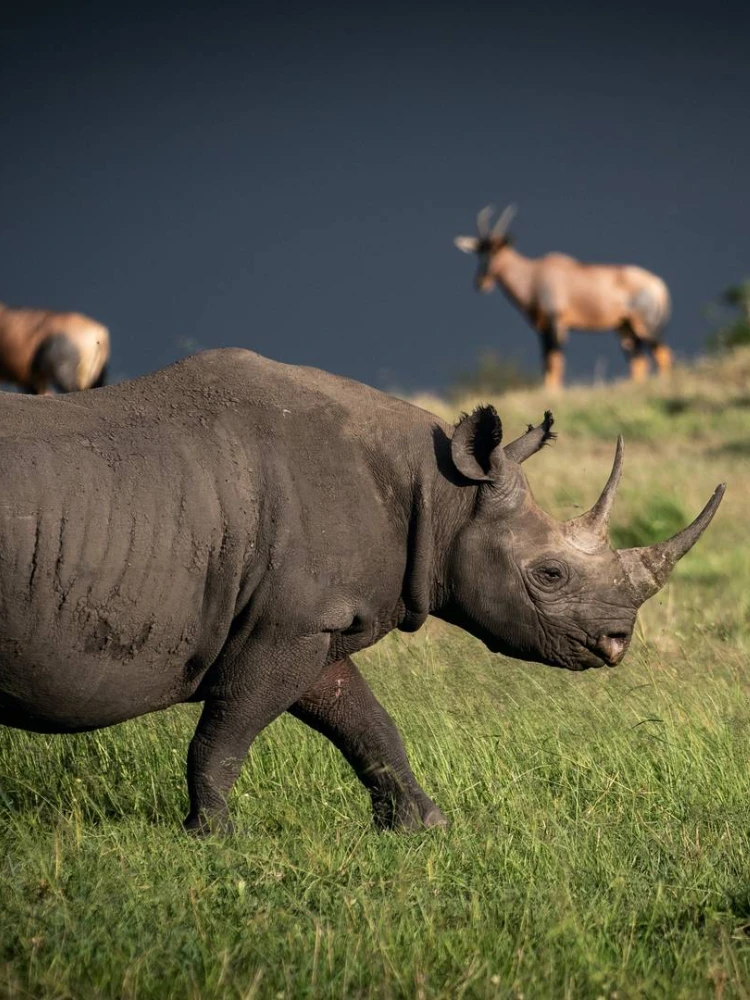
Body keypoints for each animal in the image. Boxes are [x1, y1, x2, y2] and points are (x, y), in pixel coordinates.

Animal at [0, 349, 724, 832]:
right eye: (549, 575)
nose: (618, 642)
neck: (442, 492)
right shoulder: (289, 625)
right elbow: (228, 733)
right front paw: (213, 837)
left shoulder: (308, 622)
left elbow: (365, 721)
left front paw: (421, 827)